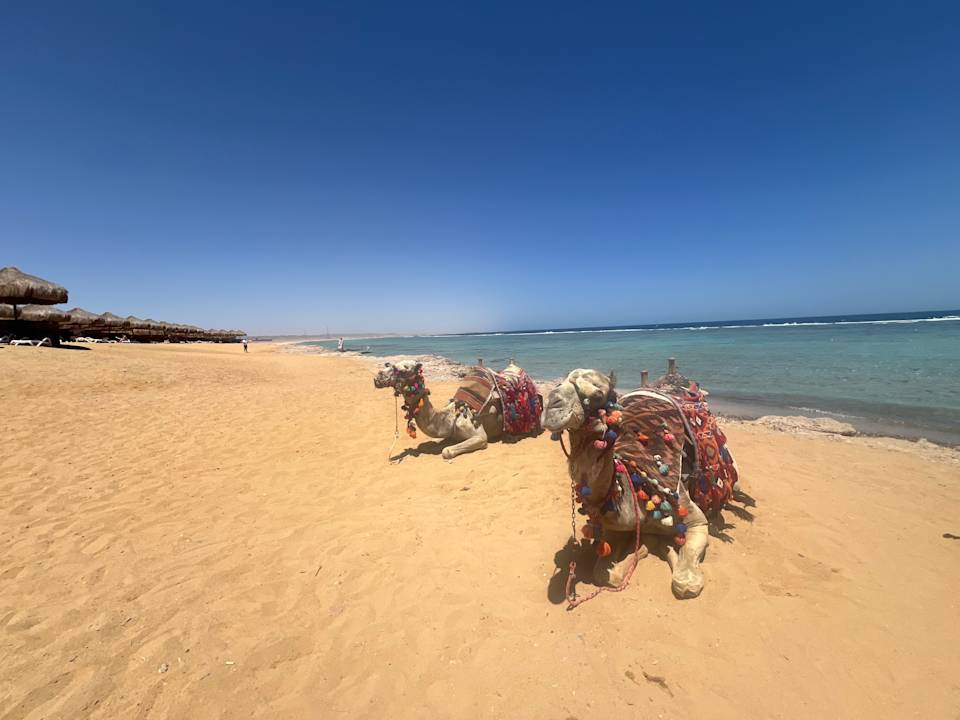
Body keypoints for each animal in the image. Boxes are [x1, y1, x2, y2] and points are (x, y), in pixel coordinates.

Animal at [373, 360, 541, 460]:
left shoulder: (479, 436)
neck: (453, 415)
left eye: (403, 369)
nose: (377, 378)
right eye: (389, 365)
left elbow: (446, 451)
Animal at [542, 368, 718, 599]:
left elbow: (686, 583)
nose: (550, 404)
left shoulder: (696, 520)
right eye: (559, 384)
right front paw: (644, 547)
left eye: (597, 395)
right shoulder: (615, 527)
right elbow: (604, 574)